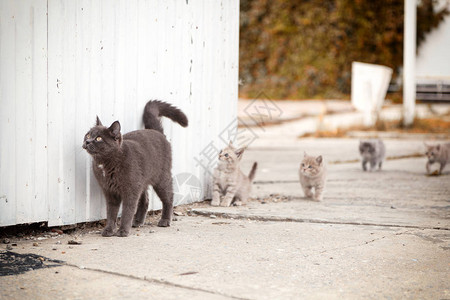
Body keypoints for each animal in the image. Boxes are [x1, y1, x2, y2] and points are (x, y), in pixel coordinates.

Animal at [83, 101, 187, 237]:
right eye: (88, 135)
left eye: (99, 138)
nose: (87, 141)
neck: (106, 163)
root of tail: (157, 132)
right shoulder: (109, 192)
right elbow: (111, 213)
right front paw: (109, 230)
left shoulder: (130, 190)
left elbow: (127, 211)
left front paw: (123, 231)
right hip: (141, 181)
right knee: (145, 200)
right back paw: (137, 221)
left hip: (161, 178)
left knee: (169, 197)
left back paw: (165, 220)